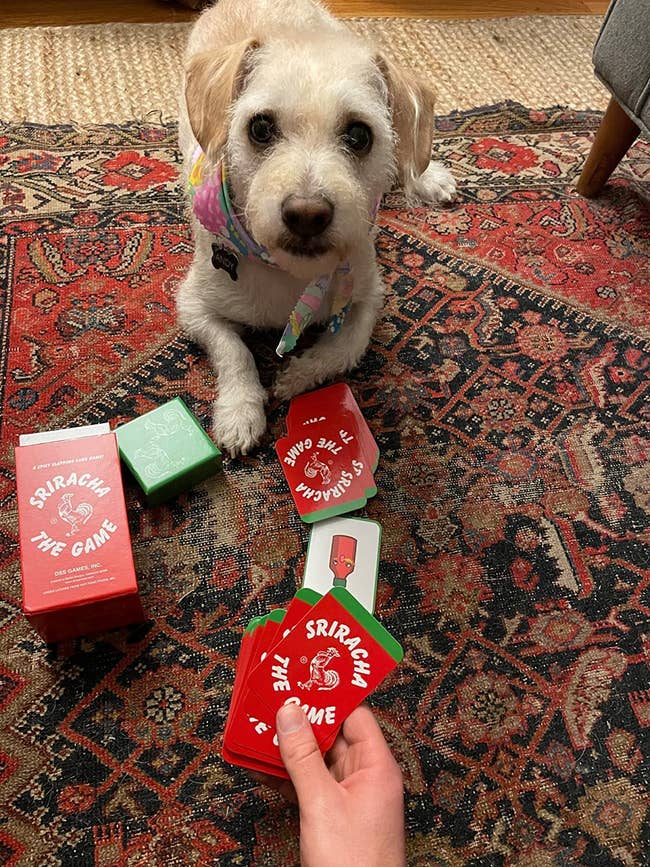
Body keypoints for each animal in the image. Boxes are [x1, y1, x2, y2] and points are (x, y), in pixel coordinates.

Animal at [175, 0, 454, 458]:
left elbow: (345, 346)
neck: (290, 274)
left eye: (358, 134)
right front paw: (240, 413)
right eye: (260, 128)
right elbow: (234, 352)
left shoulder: (369, 297)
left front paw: (297, 377)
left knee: (410, 150)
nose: (307, 214)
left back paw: (429, 178)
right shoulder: (193, 307)